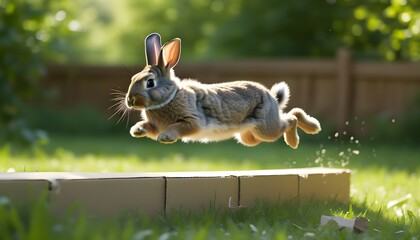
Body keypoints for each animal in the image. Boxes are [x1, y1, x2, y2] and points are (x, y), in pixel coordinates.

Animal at [124, 32, 322, 147]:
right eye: (132, 78)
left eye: (150, 83)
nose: (130, 101)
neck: (171, 97)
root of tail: (272, 98)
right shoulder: (155, 125)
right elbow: (148, 127)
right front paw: (137, 130)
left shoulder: (192, 121)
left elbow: (179, 127)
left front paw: (166, 137)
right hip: (250, 137)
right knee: (290, 116)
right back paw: (311, 129)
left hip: (266, 128)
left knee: (291, 119)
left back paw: (298, 138)